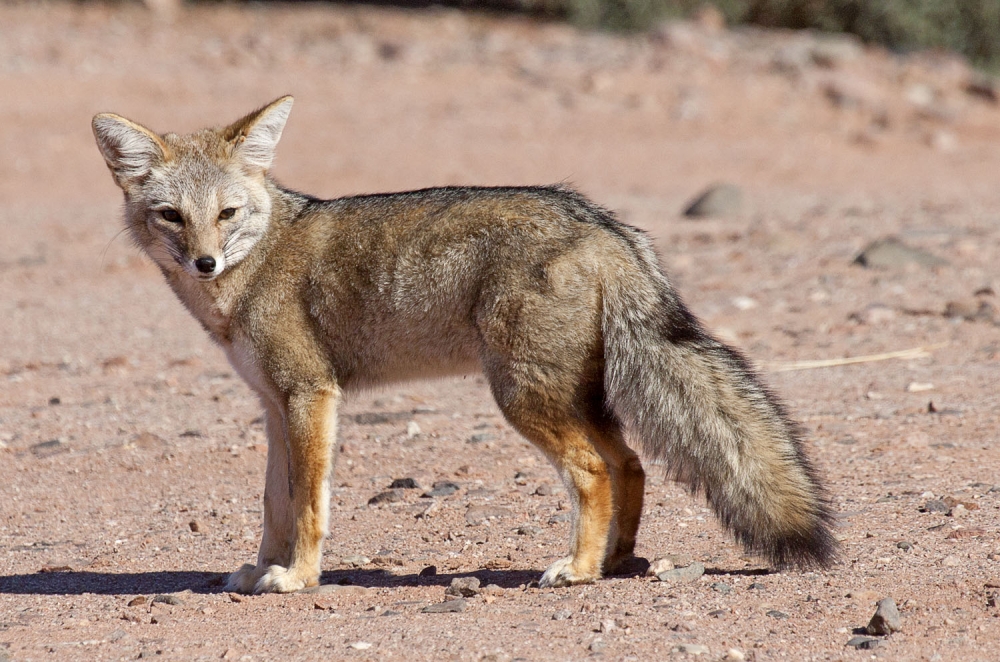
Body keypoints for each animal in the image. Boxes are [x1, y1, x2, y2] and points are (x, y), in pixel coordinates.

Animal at [90, 97, 836, 596]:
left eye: (227, 215)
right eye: (172, 217)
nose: (205, 263)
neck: (256, 264)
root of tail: (599, 221)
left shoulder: (311, 395)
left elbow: (307, 505)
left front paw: (298, 576)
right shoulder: (276, 407)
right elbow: (276, 501)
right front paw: (261, 569)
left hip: (523, 397)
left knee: (595, 470)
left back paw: (578, 569)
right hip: (570, 396)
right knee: (630, 465)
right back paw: (614, 561)